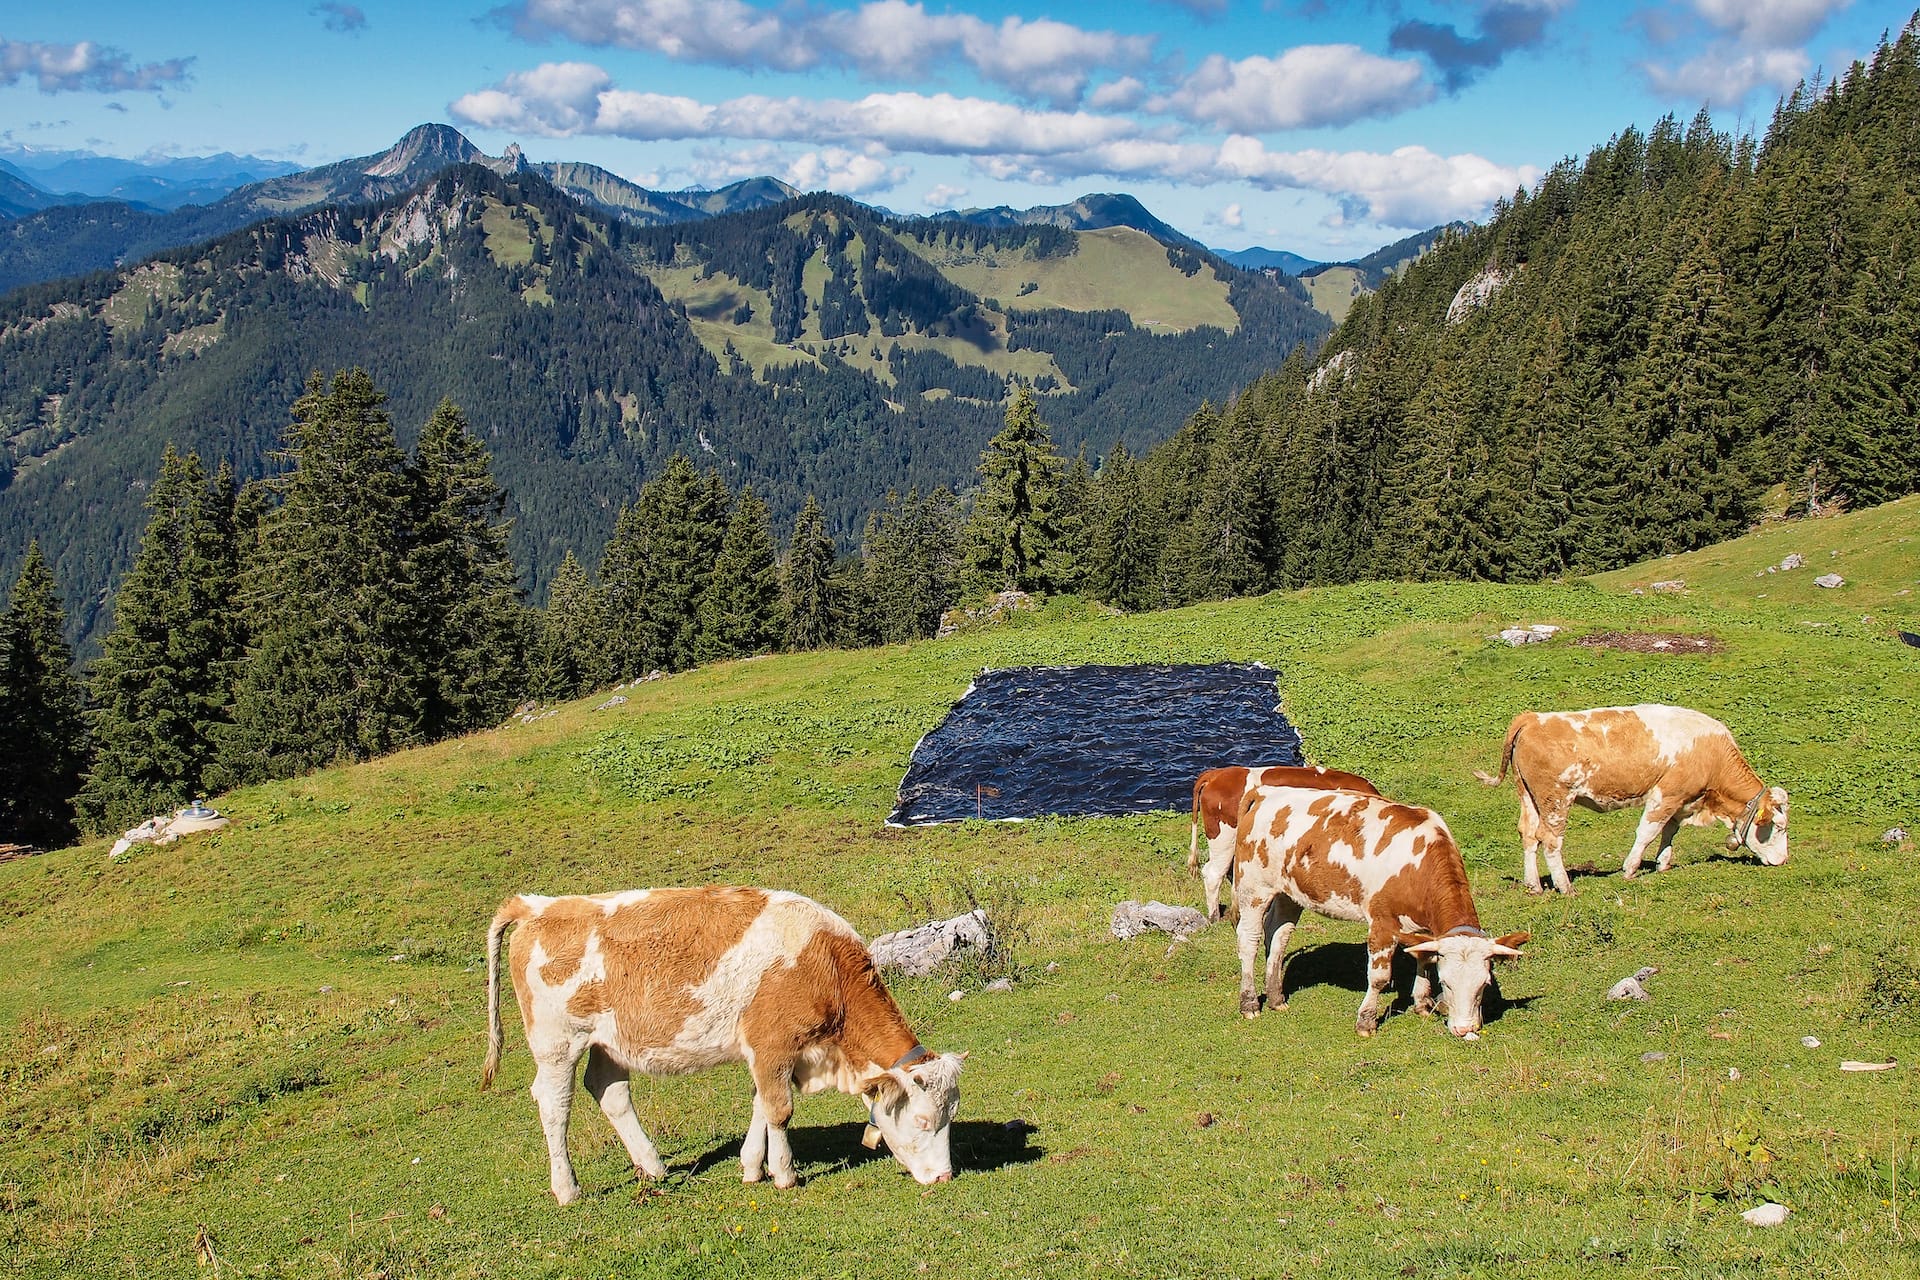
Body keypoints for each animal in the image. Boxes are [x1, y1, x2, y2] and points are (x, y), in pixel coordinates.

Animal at [482, 886, 965, 1203]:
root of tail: (536, 906)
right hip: (557, 1044)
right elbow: (779, 1110)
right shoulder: (773, 1043)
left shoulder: (768, 1053)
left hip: (609, 1041)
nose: (945, 1177)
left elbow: (760, 1105)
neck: (822, 963)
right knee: (554, 1104)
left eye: (951, 1117)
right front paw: (784, 1174)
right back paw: (567, 1188)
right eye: (923, 1120)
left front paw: (752, 1167)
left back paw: (654, 1168)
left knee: (609, 1091)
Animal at [1231, 786, 1527, 1038]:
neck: (1417, 866)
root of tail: (1265, 791)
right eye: (1446, 983)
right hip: (1253, 887)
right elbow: (1379, 977)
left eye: (1484, 985)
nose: (1465, 1029)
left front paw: (1422, 1004)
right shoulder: (1383, 923)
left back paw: (1276, 998)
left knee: (1278, 936)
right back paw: (1250, 1004)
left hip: (1289, 893)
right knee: (1249, 940)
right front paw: (1366, 1021)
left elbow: (1424, 957)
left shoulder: (1425, 928)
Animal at [1477, 704, 1790, 895]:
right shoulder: (1666, 795)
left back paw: (1534, 886)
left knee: (1529, 835)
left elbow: (1669, 832)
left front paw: (1663, 864)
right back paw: (1565, 887)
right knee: (1551, 840)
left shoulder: (1682, 799)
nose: (1783, 860)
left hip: (1528, 796)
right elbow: (1648, 832)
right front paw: (1630, 869)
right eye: (1778, 826)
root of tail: (1533, 718)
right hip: (1556, 798)